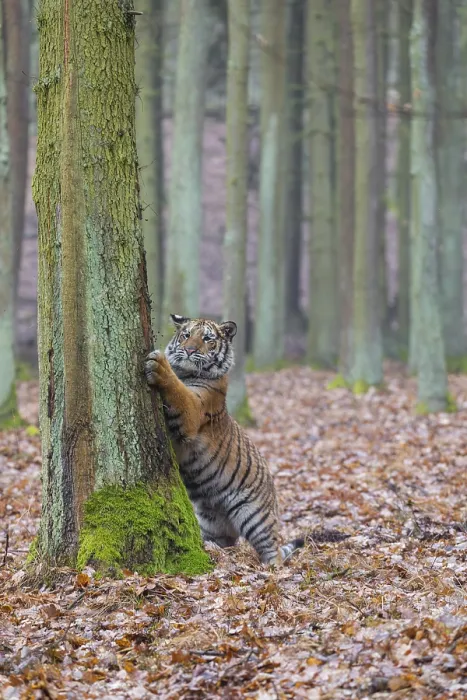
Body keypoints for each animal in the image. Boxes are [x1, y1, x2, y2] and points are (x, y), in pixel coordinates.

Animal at [144, 314, 304, 566]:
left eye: (207, 339)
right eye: (186, 335)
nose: (189, 350)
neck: (187, 373)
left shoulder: (193, 409)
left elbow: (178, 391)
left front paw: (159, 364)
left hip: (255, 517)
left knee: (273, 550)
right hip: (210, 522)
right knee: (225, 542)